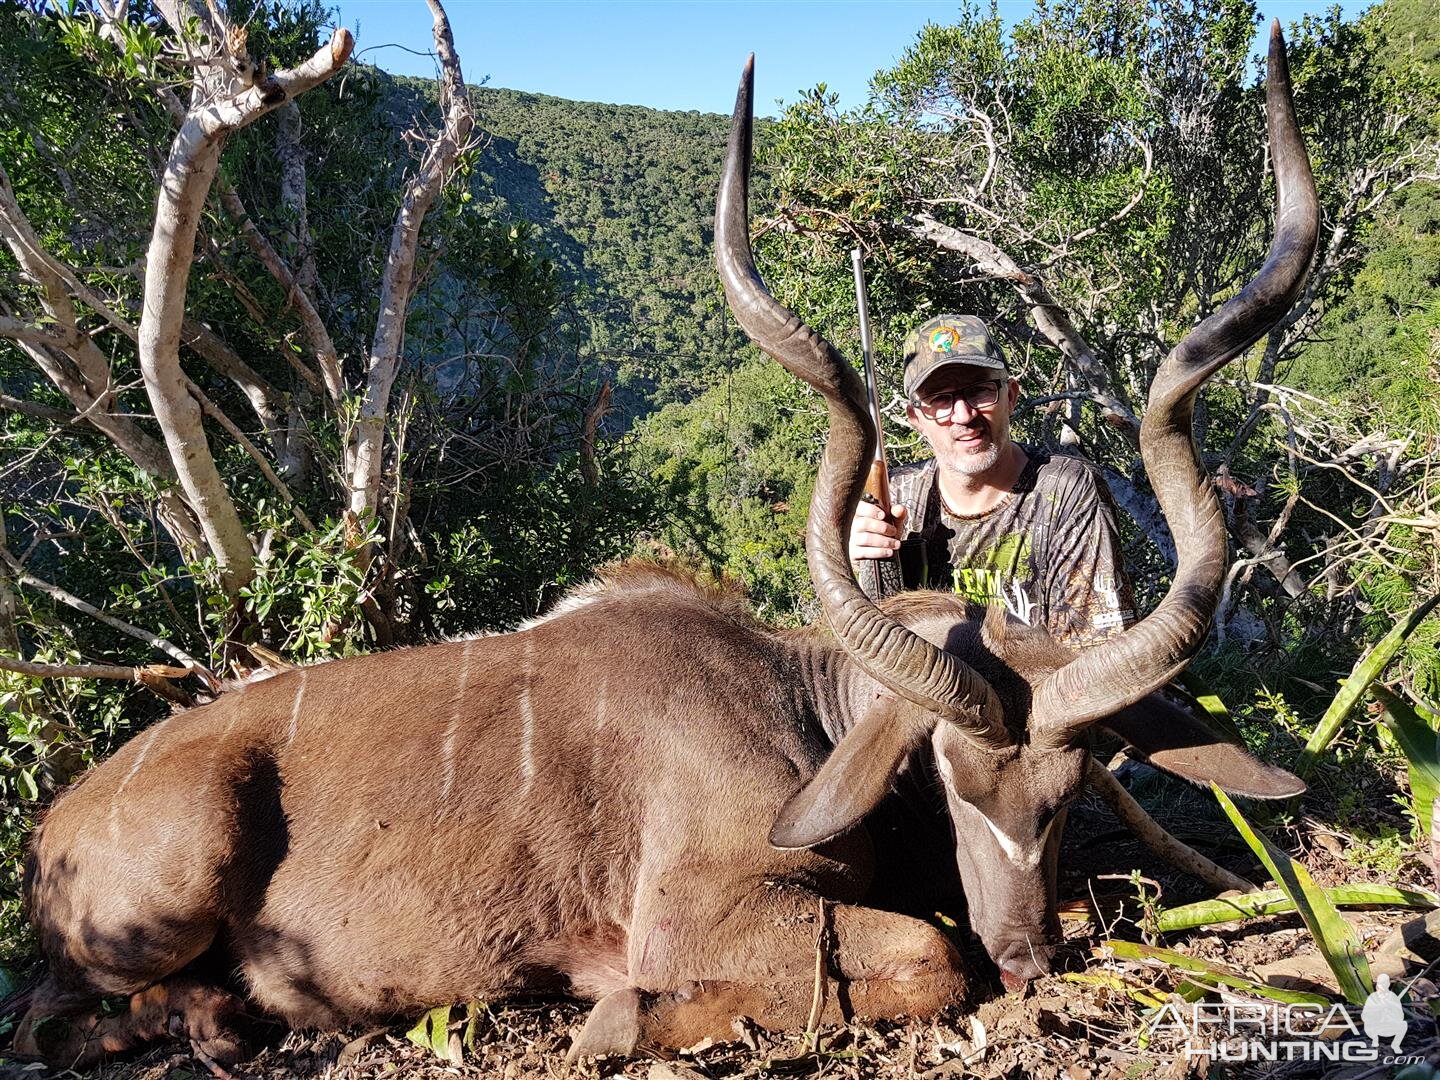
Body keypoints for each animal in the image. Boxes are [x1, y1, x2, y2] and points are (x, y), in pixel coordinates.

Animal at [14, 25, 1319, 1077]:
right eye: (950, 778)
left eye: (1072, 785)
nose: (1029, 956)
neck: (803, 706)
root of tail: (51, 831)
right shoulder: (701, 912)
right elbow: (916, 959)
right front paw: (612, 1018)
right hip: (163, 897)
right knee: (53, 1014)